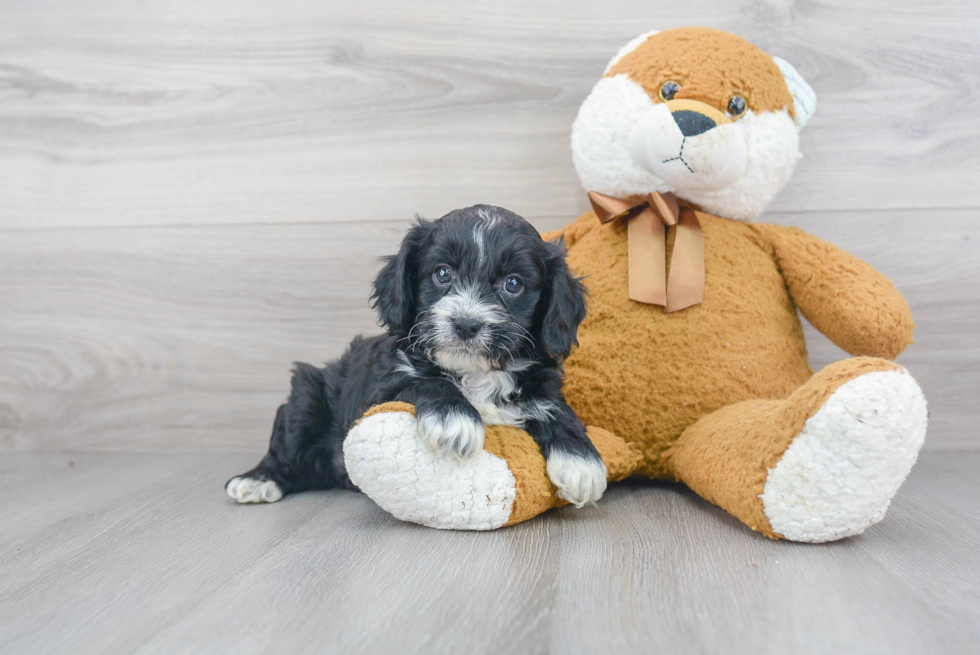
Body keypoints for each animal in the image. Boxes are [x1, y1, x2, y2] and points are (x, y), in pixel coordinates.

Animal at [227, 205, 608, 508]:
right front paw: (454, 421)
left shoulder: (541, 384)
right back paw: (257, 480)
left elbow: (556, 409)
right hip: (307, 395)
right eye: (442, 273)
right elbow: (427, 382)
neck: (475, 373)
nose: (466, 324)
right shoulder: (381, 388)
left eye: (513, 284)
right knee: (287, 446)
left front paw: (581, 462)